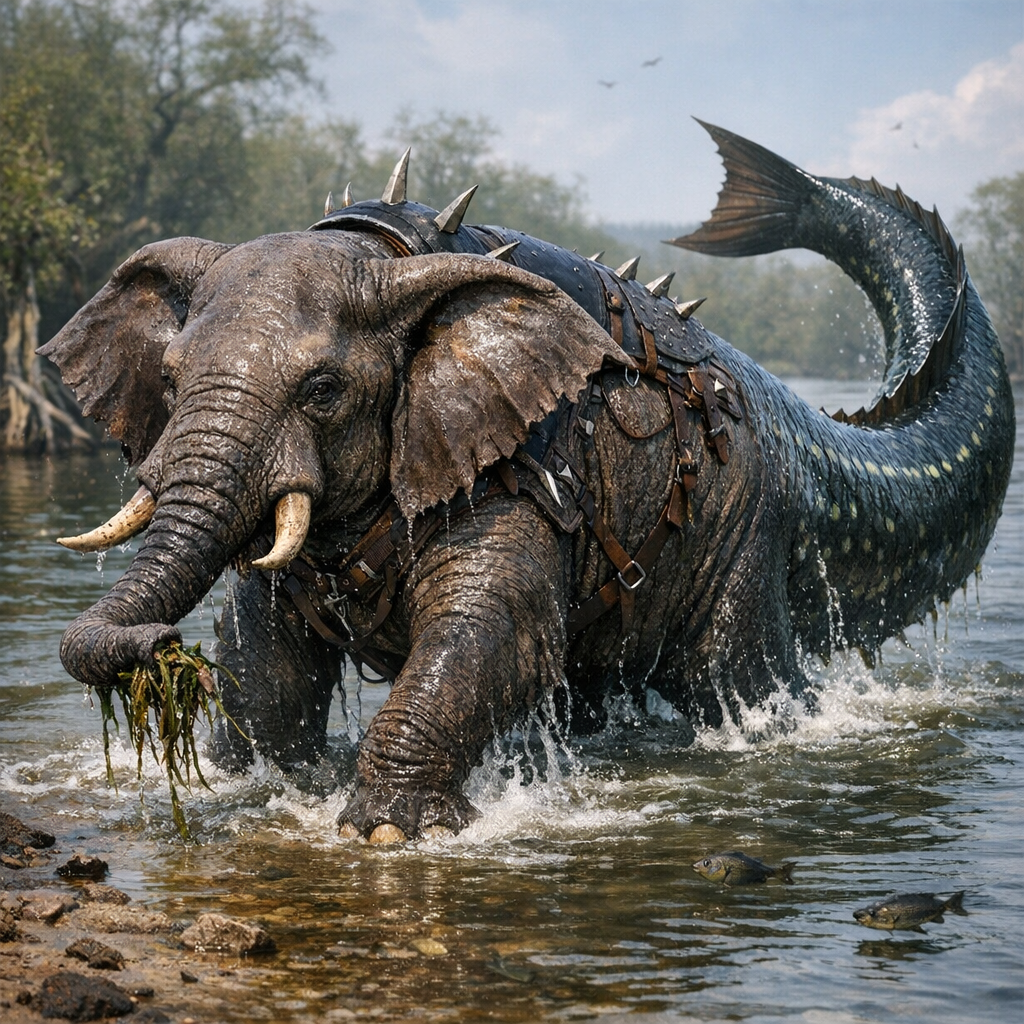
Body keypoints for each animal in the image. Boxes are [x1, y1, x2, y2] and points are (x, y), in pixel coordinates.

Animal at [41, 123, 1015, 842]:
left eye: (324, 389)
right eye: (169, 383)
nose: (158, 647)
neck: (382, 254)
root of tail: (794, 421)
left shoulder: (525, 465)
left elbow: (488, 629)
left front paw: (384, 831)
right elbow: (263, 660)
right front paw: (251, 790)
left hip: (745, 528)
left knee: (743, 683)